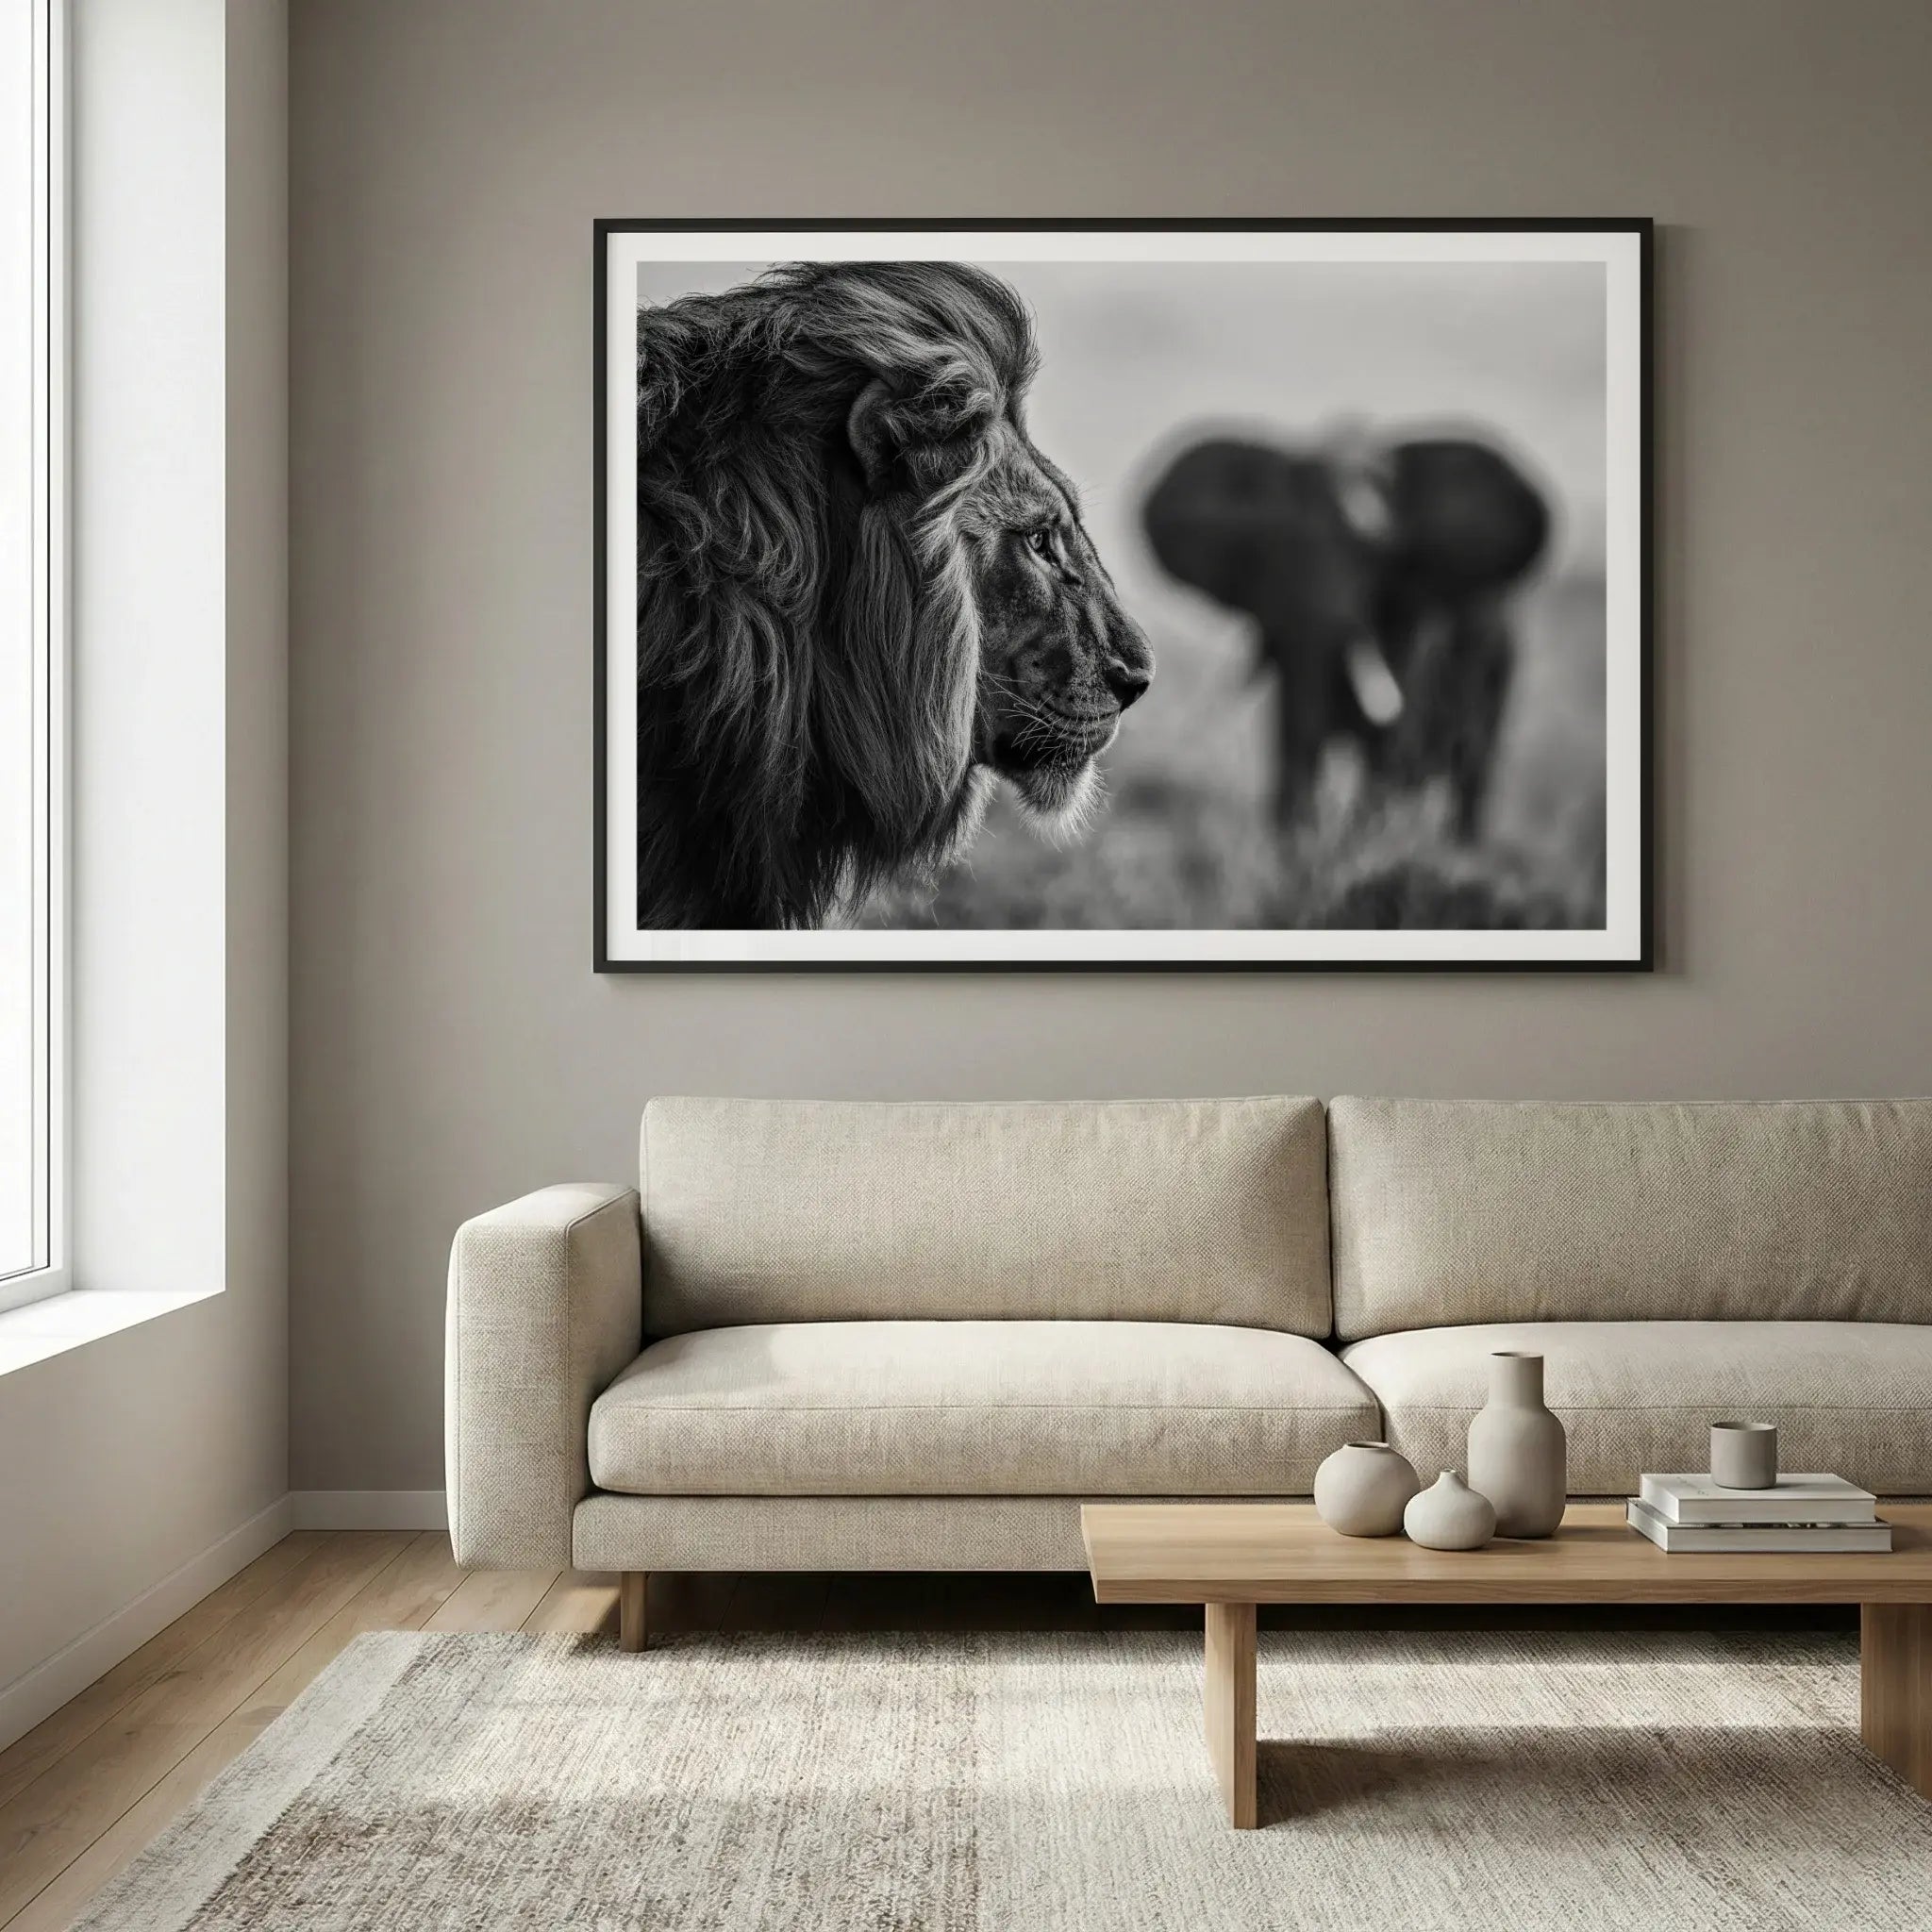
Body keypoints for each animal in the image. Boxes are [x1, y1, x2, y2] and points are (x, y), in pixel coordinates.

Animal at [1141, 431, 1551, 839]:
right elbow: (1294, 730)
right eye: (1265, 547)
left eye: (1375, 556)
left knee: (1472, 765)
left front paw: (1359, 839)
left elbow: (1390, 744)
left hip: (1500, 662)